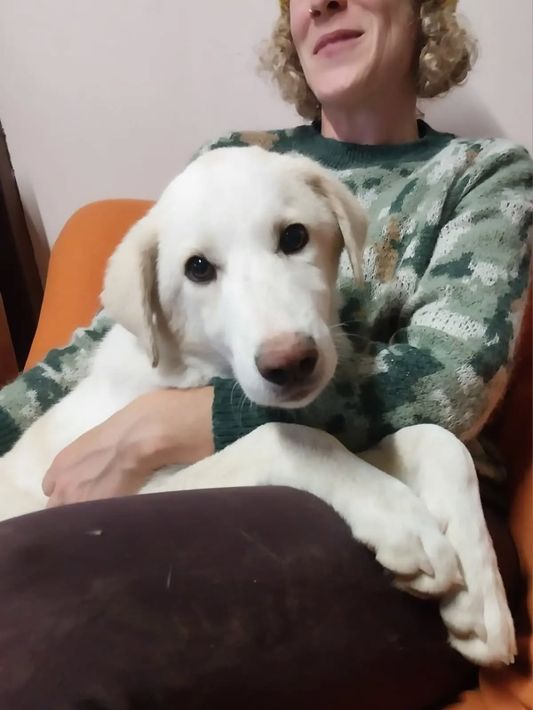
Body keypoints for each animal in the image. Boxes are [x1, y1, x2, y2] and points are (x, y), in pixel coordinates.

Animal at [0, 146, 515, 666]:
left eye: (294, 236)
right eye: (198, 268)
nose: (290, 363)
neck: (194, 371)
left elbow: (438, 440)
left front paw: (479, 597)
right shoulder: (143, 489)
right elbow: (284, 436)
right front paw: (403, 521)